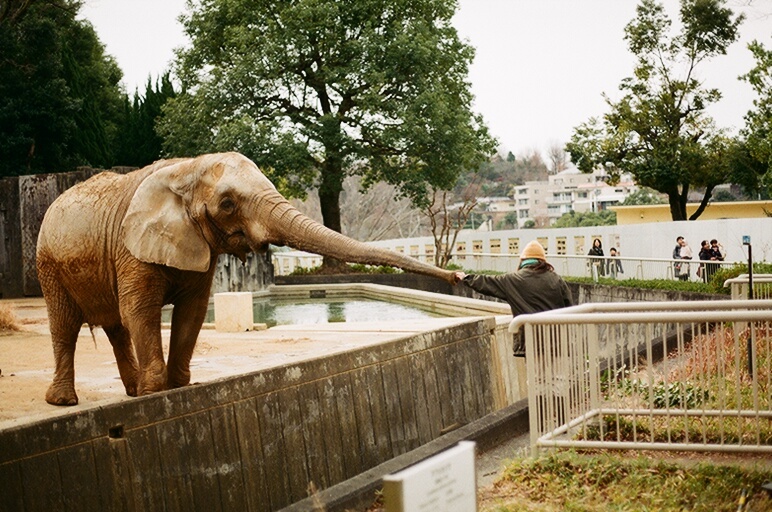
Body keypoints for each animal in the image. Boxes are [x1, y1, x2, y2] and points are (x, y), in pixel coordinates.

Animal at [36, 150, 458, 406]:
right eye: (227, 204)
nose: (459, 276)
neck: (187, 167)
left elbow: (192, 311)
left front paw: (174, 388)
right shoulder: (131, 247)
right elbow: (141, 309)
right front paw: (157, 394)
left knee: (115, 327)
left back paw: (131, 394)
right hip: (48, 264)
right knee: (65, 324)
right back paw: (66, 401)